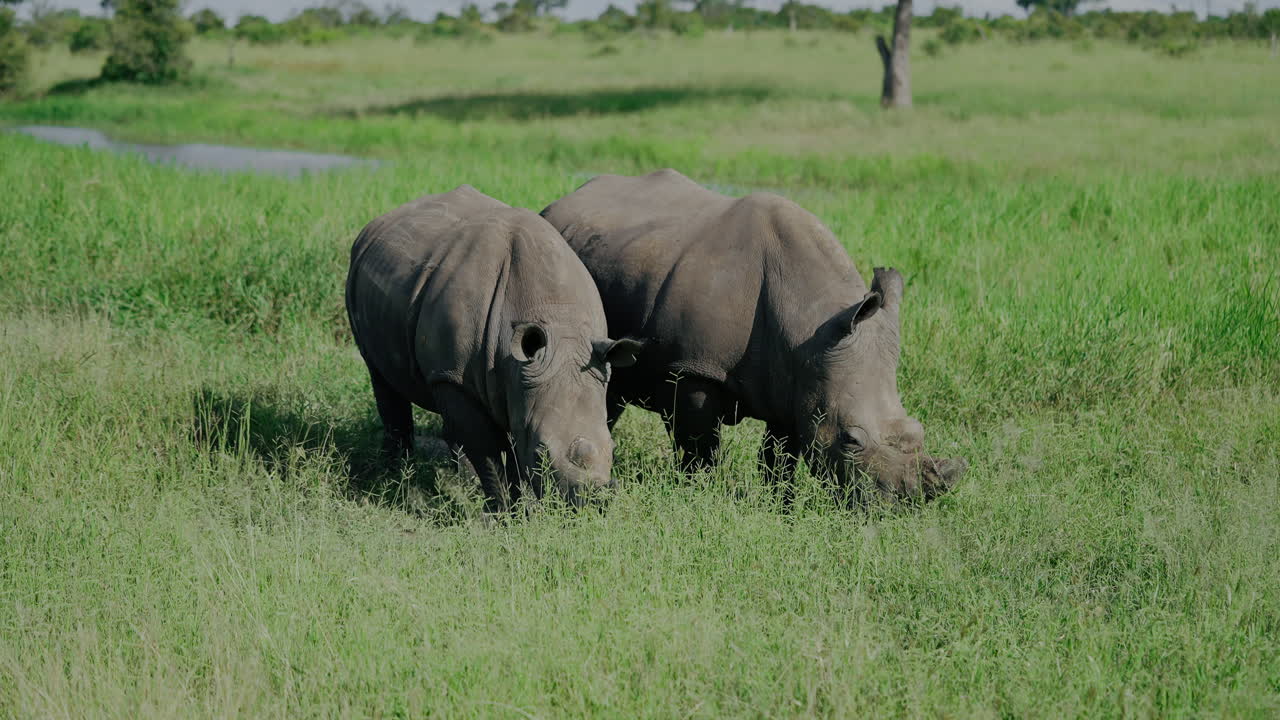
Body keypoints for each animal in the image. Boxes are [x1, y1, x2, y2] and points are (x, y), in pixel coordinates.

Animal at [346, 186, 643, 511]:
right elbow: (489, 451)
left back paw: (457, 480)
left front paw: (521, 510)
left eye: (613, 447)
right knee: (382, 377)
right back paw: (396, 477)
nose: (591, 504)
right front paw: (505, 513)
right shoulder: (456, 374)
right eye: (541, 453)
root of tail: (376, 224)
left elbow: (512, 449)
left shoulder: (520, 378)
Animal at [541, 169, 966, 503]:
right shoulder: (693, 369)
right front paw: (699, 495)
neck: (809, 319)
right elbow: (699, 448)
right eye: (849, 439)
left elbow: (780, 456)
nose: (901, 504)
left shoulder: (796, 377)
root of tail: (562, 201)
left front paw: (783, 506)